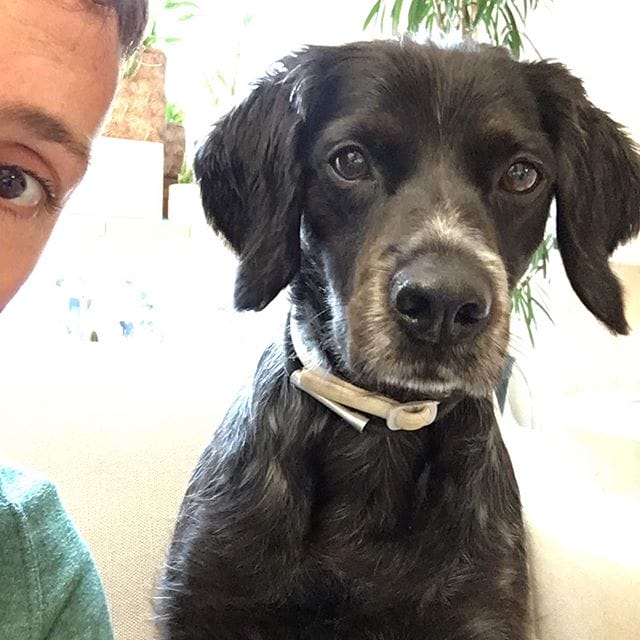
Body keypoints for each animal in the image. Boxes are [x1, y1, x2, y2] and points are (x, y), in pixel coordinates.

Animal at [156, 40, 640, 639]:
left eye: (522, 174)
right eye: (350, 161)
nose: (443, 305)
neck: (381, 433)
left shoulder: (481, 611)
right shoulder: (205, 601)